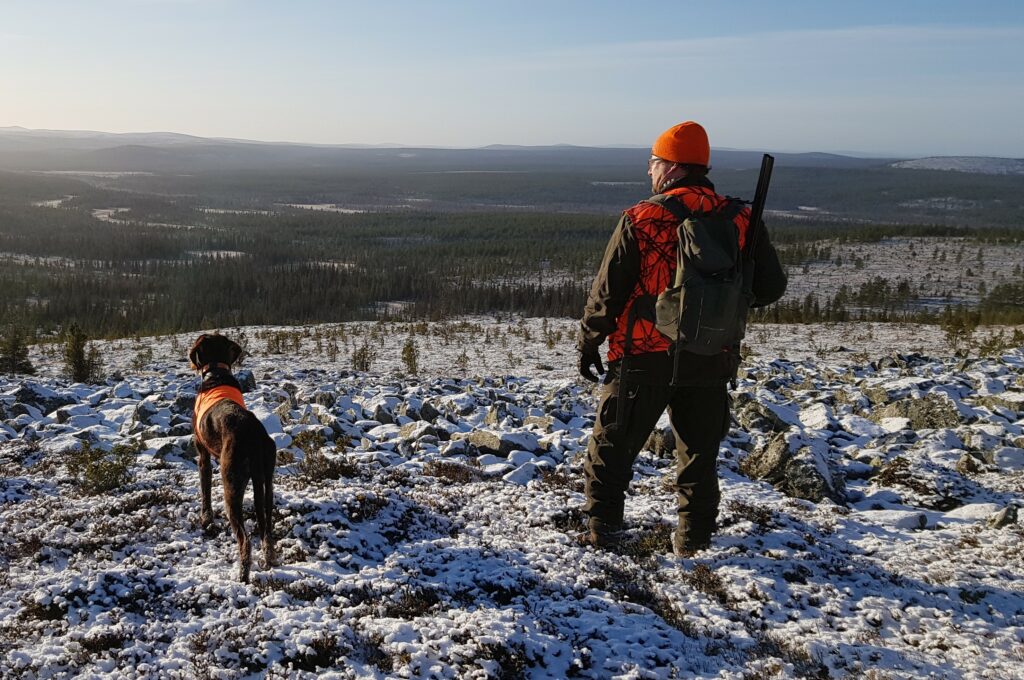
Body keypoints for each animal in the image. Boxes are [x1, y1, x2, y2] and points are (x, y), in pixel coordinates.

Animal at [189, 331, 276, 581]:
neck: (216, 373)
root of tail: (254, 435)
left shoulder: (203, 456)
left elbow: (205, 493)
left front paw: (206, 519)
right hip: (267, 482)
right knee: (267, 530)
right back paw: (269, 560)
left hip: (232, 485)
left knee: (245, 541)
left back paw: (243, 576)